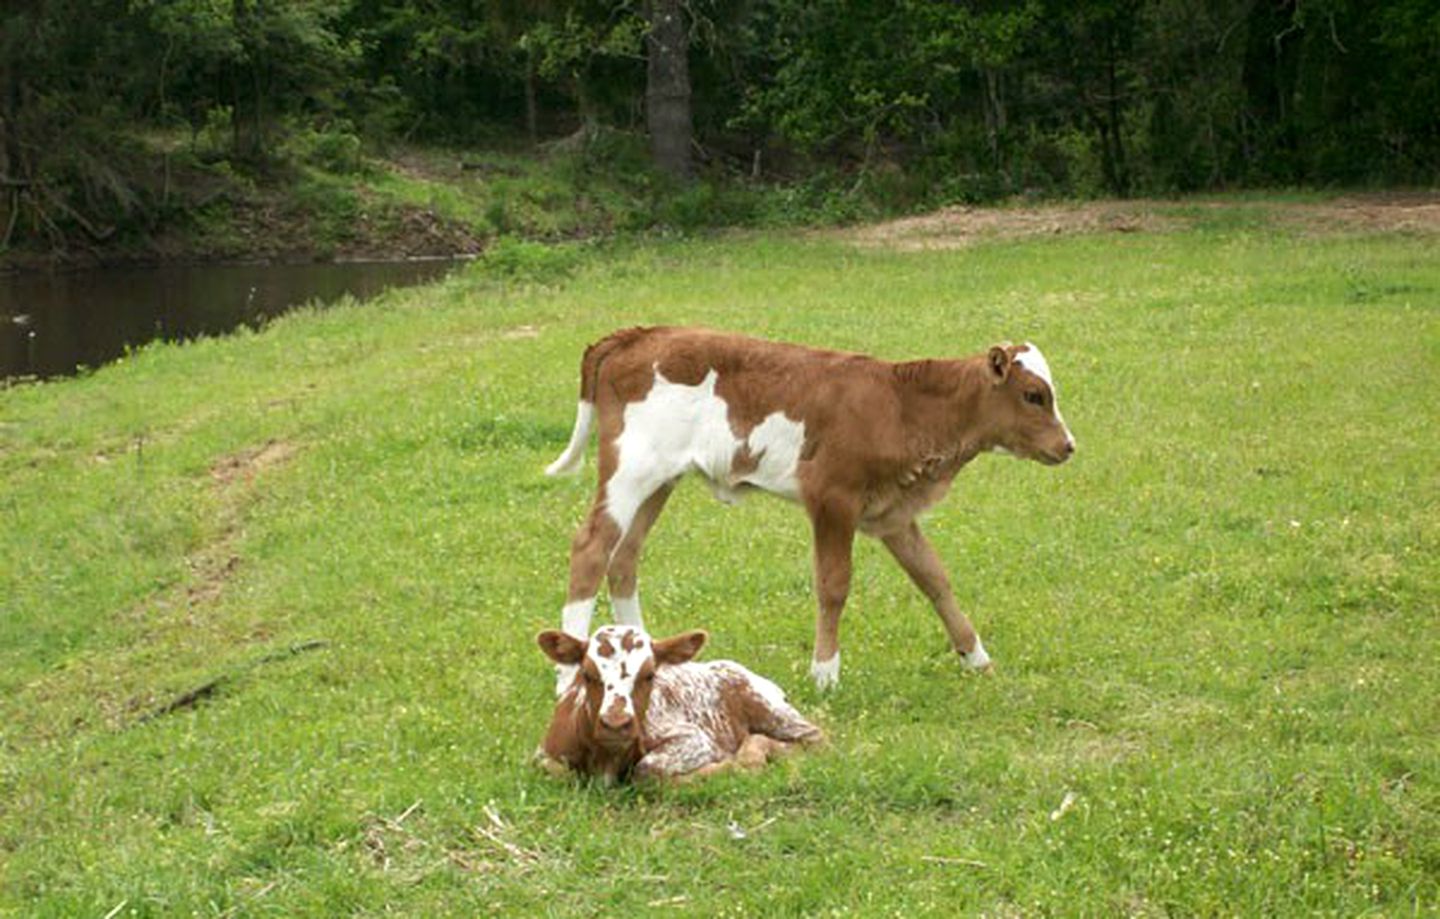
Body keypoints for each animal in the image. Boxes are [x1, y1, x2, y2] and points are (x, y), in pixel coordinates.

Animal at [535, 628, 823, 783]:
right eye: (587, 673)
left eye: (650, 674)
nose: (616, 724)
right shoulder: (544, 753)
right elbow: (555, 770)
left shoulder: (694, 738)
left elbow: (647, 769)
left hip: (774, 713)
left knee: (818, 740)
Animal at [544, 328, 1077, 694]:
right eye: (1034, 395)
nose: (1068, 445)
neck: (901, 405)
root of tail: (639, 333)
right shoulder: (832, 499)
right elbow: (833, 585)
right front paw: (825, 672)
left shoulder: (893, 513)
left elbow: (934, 579)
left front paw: (977, 658)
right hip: (628, 473)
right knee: (591, 550)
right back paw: (569, 678)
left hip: (658, 481)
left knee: (624, 557)